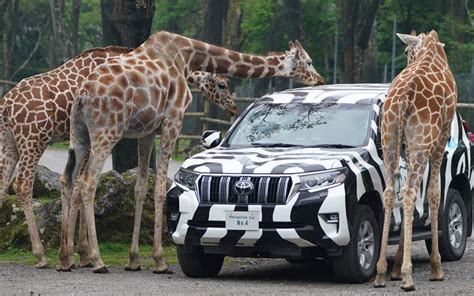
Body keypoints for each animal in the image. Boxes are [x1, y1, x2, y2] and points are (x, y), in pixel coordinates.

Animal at [58, 30, 326, 272]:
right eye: (309, 61)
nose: (321, 80)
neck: (187, 58)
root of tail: (83, 94)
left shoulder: (147, 131)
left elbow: (141, 187)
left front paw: (133, 260)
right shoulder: (173, 120)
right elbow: (160, 188)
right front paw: (159, 261)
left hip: (80, 134)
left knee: (68, 178)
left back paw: (66, 258)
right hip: (107, 131)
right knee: (88, 180)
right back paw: (97, 260)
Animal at [374, 30, 456, 292]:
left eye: (404, 51)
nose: (406, 62)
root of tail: (404, 96)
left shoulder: (407, 147)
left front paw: (396, 266)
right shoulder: (440, 138)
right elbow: (434, 194)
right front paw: (435, 268)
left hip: (390, 138)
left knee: (391, 192)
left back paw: (381, 272)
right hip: (422, 141)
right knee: (410, 192)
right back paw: (409, 277)